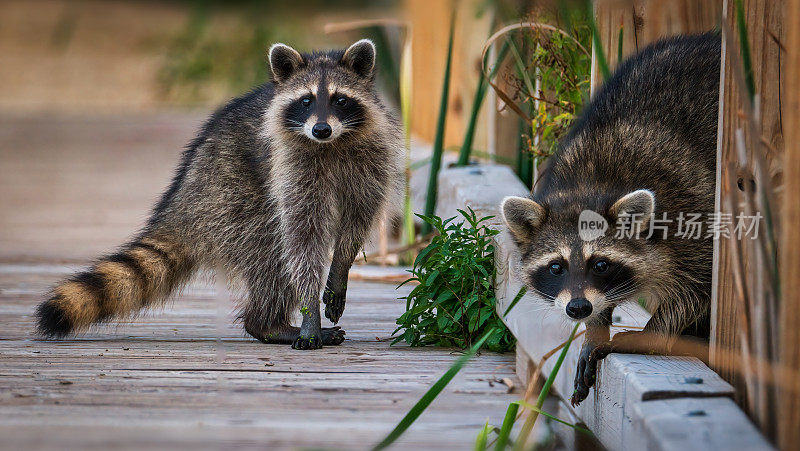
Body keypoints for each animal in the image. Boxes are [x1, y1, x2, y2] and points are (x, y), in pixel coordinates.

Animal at [34, 39, 404, 350]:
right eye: (306, 100)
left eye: (341, 99)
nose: (321, 129)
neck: (332, 144)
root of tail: (183, 199)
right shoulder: (291, 167)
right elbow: (303, 240)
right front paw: (309, 310)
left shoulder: (372, 158)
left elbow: (357, 220)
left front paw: (340, 268)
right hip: (232, 198)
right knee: (271, 254)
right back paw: (268, 324)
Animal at [500, 33, 720, 404]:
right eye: (556, 267)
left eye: (601, 264)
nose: (578, 309)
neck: (591, 184)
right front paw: (596, 327)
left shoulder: (691, 214)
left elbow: (695, 290)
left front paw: (652, 334)